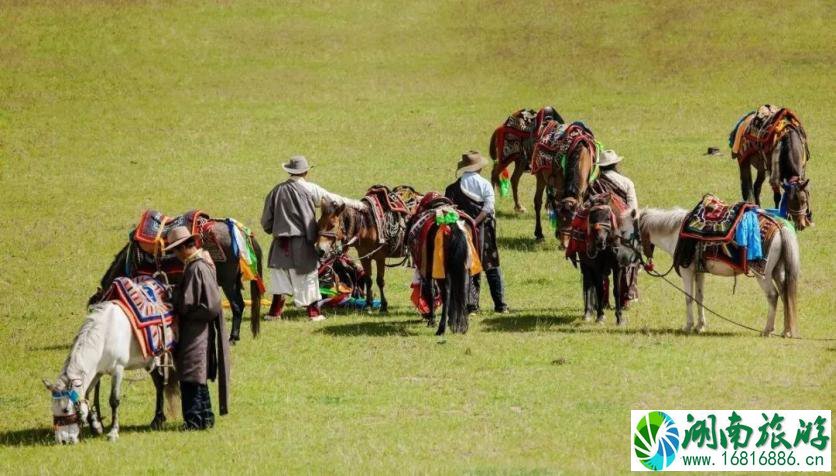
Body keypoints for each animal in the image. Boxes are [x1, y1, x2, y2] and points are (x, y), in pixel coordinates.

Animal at [42, 304, 180, 444]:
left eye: (66, 410)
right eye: (53, 409)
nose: (63, 441)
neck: (105, 336)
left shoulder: (117, 370)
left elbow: (114, 400)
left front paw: (113, 432)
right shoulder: (97, 372)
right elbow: (87, 395)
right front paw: (96, 426)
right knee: (159, 383)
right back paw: (157, 420)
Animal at [636, 207, 800, 334]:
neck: (676, 233)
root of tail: (780, 228)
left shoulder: (687, 271)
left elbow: (689, 298)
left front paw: (688, 326)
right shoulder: (699, 272)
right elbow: (699, 297)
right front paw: (700, 326)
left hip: (763, 275)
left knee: (773, 295)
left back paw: (767, 330)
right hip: (778, 271)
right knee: (785, 294)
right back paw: (786, 331)